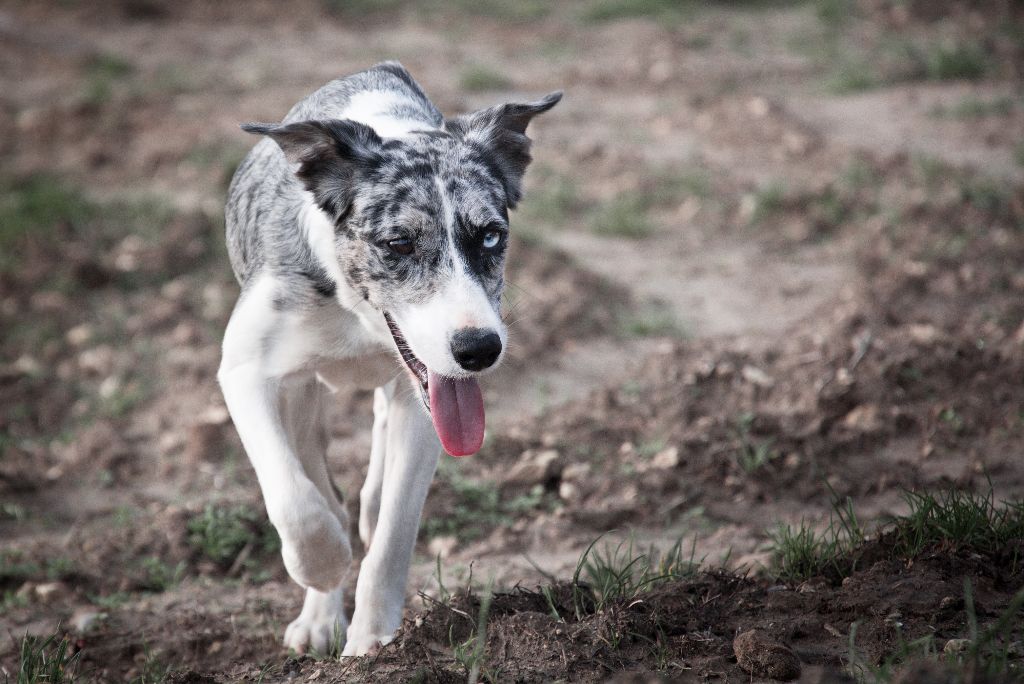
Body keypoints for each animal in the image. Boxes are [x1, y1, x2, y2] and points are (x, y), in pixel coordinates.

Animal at [218, 61, 560, 656]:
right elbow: (296, 500)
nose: (479, 349)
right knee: (314, 472)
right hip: (300, 392)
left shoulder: (426, 400)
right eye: (398, 243)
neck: (356, 312)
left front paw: (374, 644)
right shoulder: (244, 371)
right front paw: (323, 565)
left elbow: (394, 529)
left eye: (491, 236)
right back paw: (319, 616)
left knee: (374, 493)